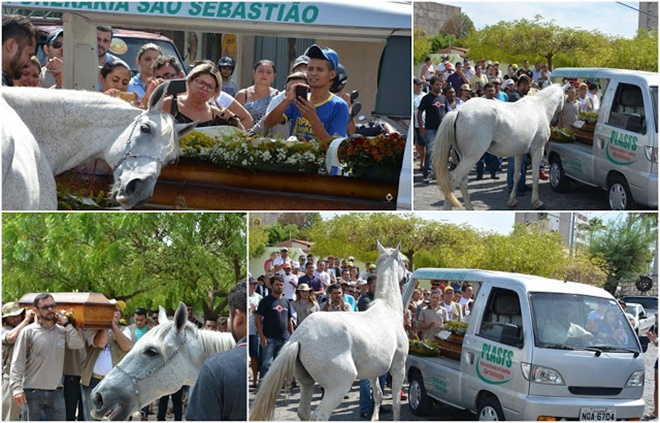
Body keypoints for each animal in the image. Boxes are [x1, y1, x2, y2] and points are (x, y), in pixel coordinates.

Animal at [251, 242, 410, 420]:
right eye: (404, 261)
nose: (407, 276)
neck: (388, 308)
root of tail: (299, 338)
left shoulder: (373, 371)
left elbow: (378, 395)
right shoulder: (398, 366)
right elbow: (396, 403)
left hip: (307, 383)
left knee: (303, 412)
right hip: (339, 386)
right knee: (318, 416)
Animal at [434, 83, 564, 210]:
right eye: (564, 97)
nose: (556, 122)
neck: (540, 107)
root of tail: (458, 111)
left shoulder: (519, 153)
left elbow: (516, 176)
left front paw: (512, 201)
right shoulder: (537, 150)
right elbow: (535, 176)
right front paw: (537, 202)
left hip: (463, 158)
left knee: (463, 182)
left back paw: (470, 208)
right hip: (471, 158)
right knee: (454, 179)